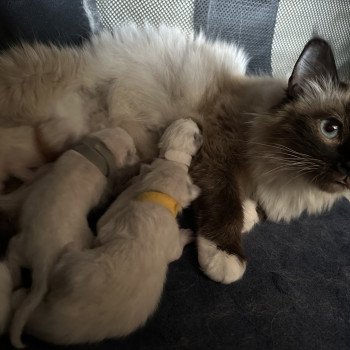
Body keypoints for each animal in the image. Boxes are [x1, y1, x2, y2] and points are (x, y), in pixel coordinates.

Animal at [0, 25, 348, 288]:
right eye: (330, 129)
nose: (346, 170)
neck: (287, 177)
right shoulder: (216, 147)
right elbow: (225, 202)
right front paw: (225, 257)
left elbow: (247, 208)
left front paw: (248, 214)